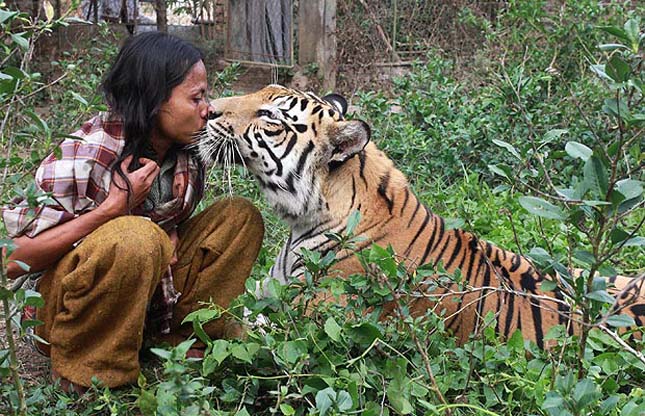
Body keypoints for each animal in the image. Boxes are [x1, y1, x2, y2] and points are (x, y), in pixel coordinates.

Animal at [197, 84, 644, 348]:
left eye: (270, 116)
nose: (209, 110)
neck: (304, 218)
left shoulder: (312, 323)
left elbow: (228, 322)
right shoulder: (264, 291)